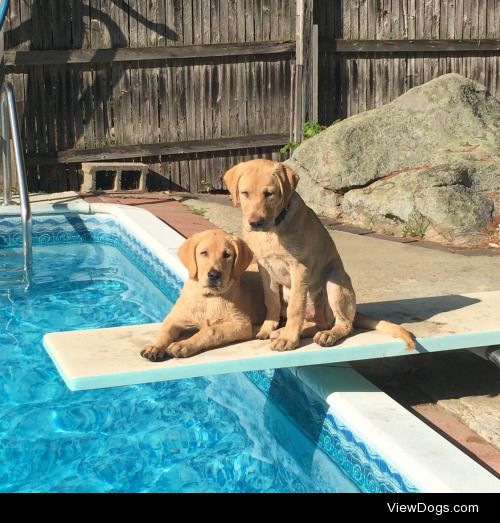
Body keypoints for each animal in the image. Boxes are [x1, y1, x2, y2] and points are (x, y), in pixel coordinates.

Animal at [141, 231, 264, 362]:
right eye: (204, 253)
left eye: (227, 255)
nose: (214, 275)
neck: (208, 297)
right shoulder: (175, 316)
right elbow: (165, 331)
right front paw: (154, 346)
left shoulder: (241, 323)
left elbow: (211, 330)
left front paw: (184, 344)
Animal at [225, 160, 416, 354]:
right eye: (245, 193)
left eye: (269, 194)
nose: (255, 223)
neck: (273, 229)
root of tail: (355, 312)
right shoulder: (265, 267)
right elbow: (271, 301)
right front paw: (268, 328)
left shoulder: (299, 267)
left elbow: (296, 308)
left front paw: (288, 339)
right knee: (315, 322)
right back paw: (282, 332)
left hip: (335, 281)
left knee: (344, 324)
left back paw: (325, 335)